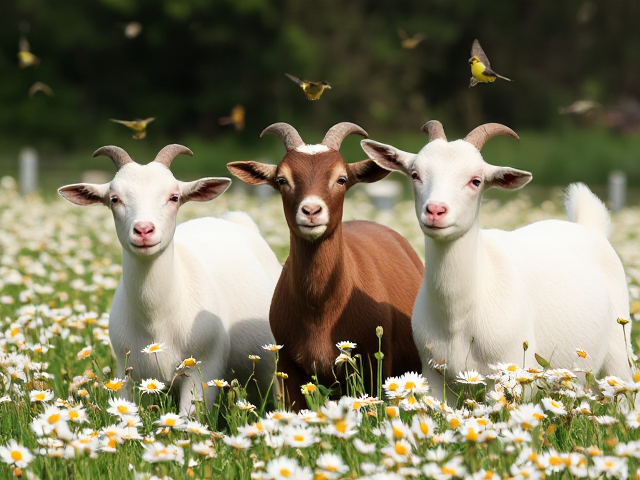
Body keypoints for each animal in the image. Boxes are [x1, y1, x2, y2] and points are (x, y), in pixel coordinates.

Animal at [58, 145, 282, 414]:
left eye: (174, 197)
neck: (157, 318)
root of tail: (238, 220)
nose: (144, 230)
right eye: (114, 199)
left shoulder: (203, 370)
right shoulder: (128, 372)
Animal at [227, 122, 423, 410]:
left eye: (341, 179)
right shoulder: (289, 367)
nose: (311, 211)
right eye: (282, 180)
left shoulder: (374, 363)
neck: (321, 310)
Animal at [361, 121, 633, 401]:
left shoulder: (513, 373)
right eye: (415, 175)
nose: (436, 210)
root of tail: (588, 226)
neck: (458, 317)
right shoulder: (434, 373)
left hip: (619, 351)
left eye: (476, 181)